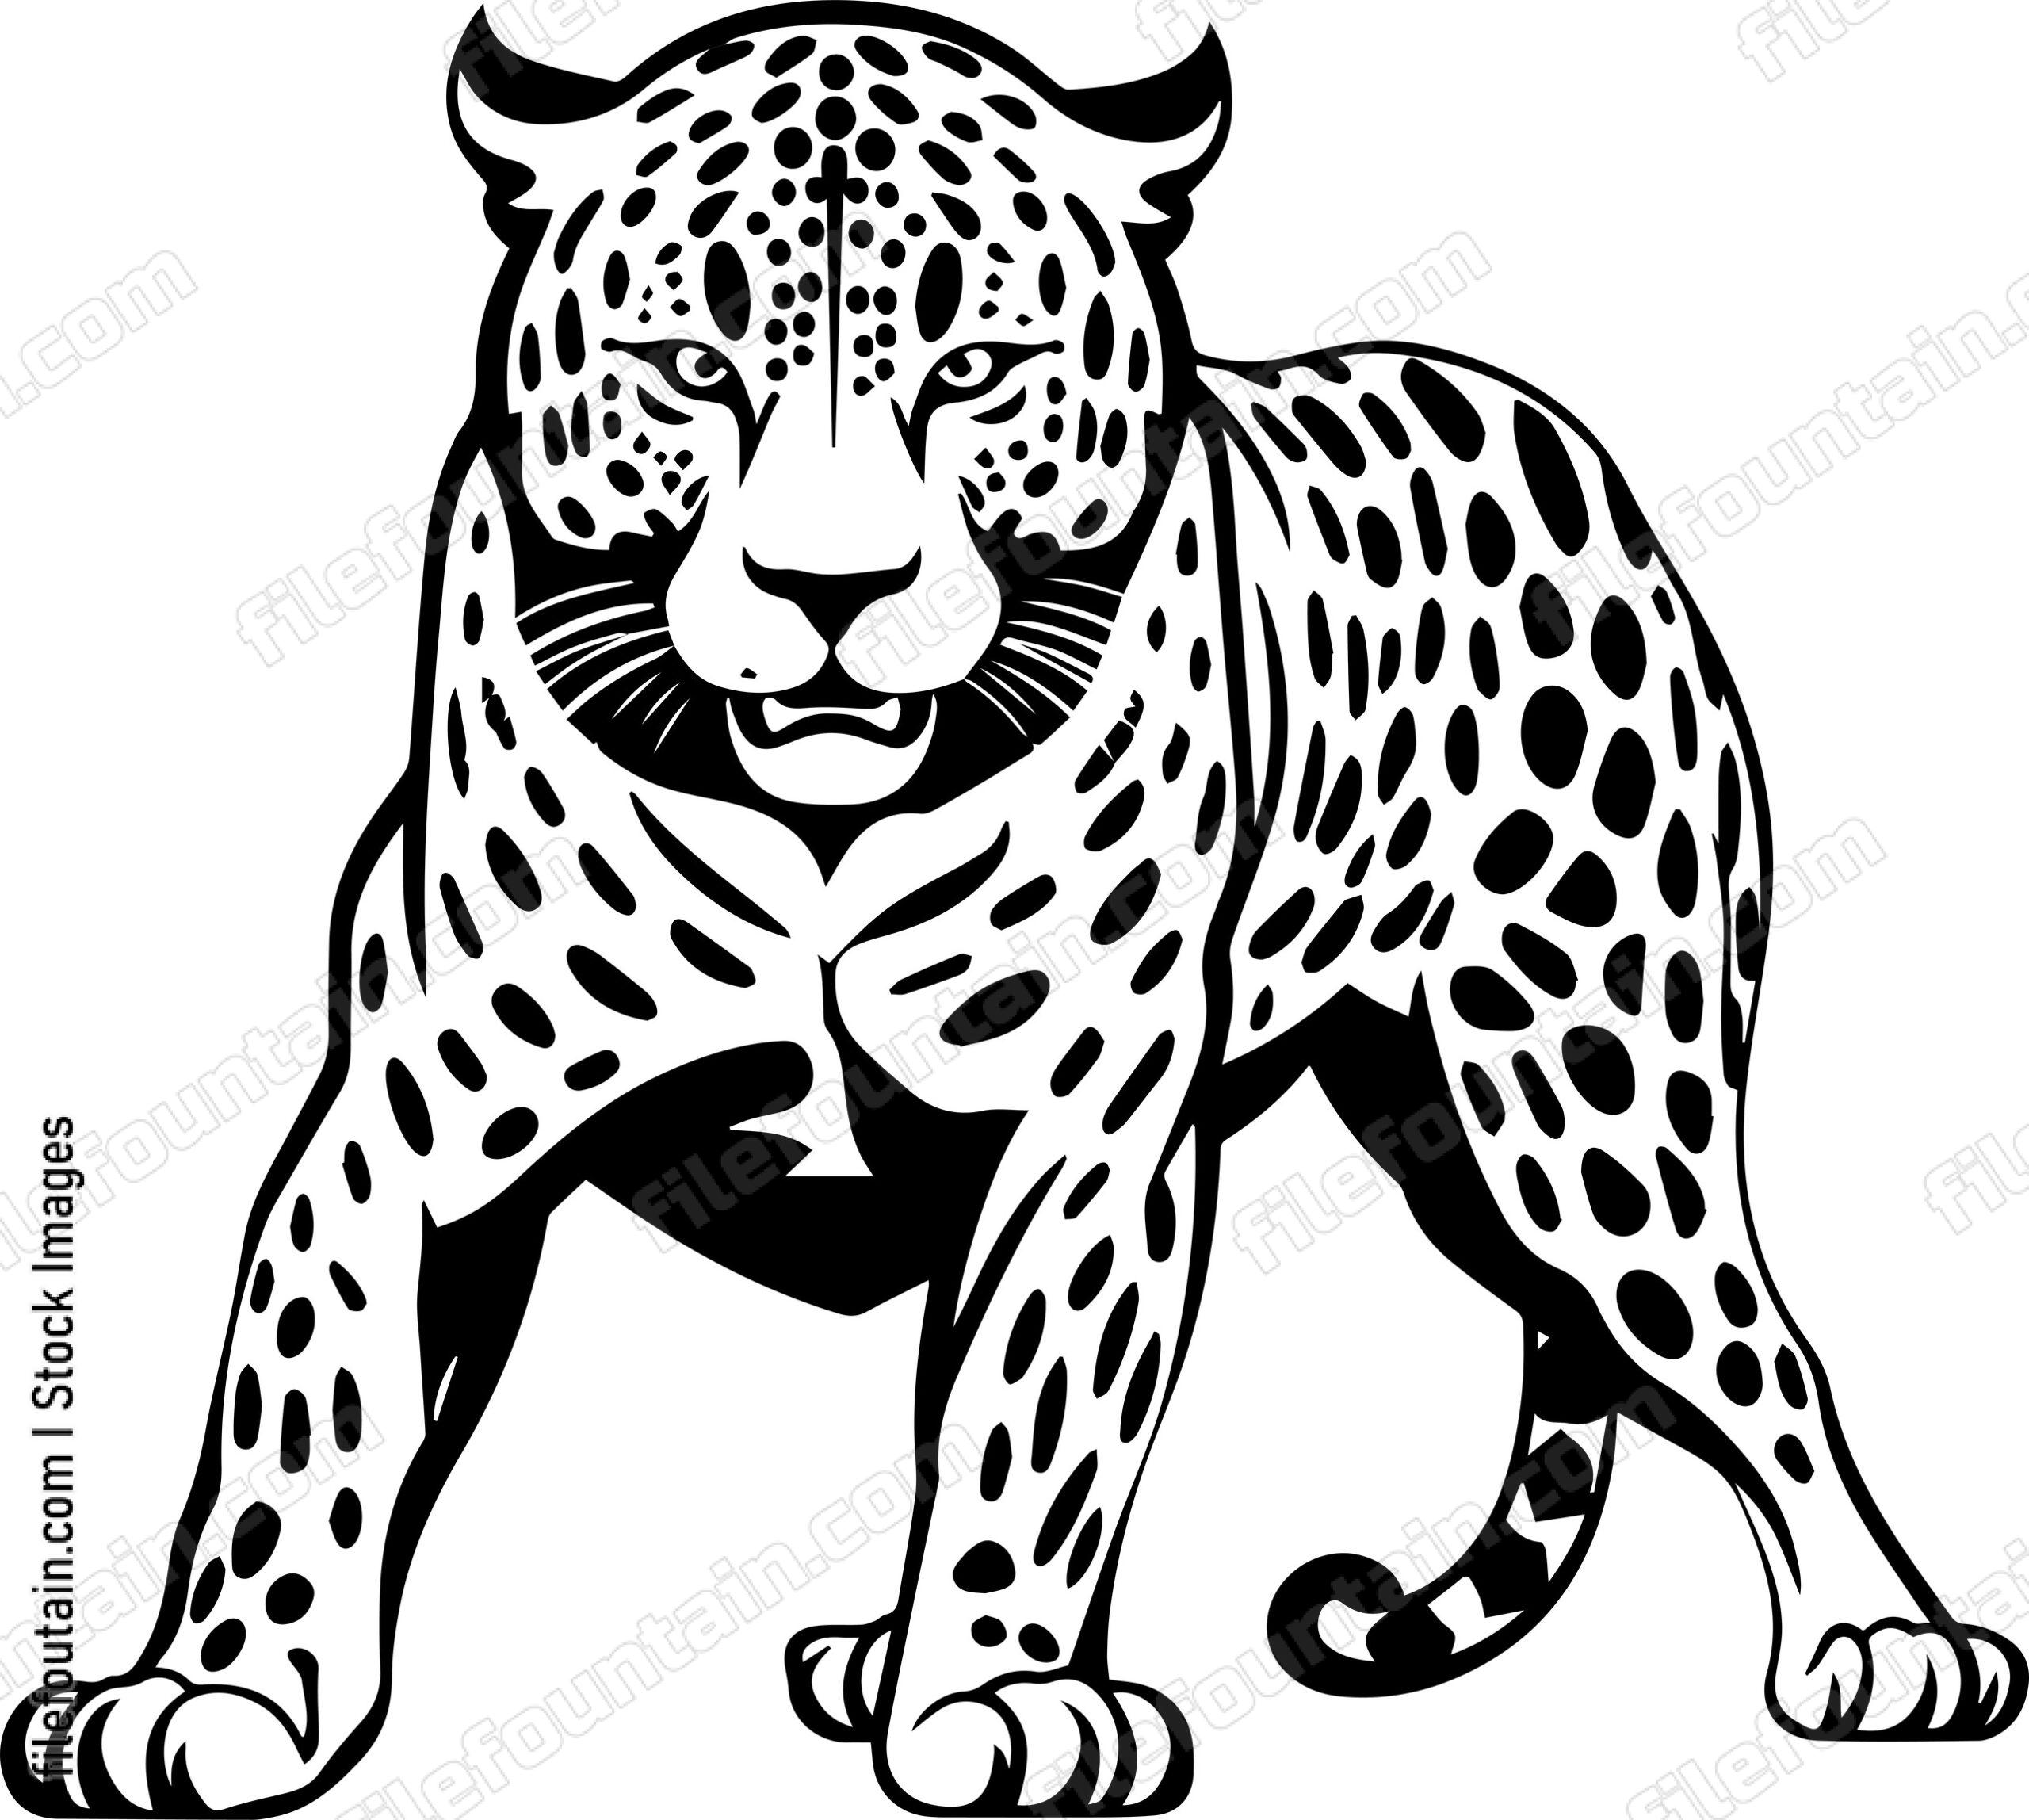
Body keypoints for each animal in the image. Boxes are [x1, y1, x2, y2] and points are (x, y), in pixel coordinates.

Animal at [9, 4, 2022, 1814]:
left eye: (974, 364)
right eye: (687, 363)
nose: (831, 590)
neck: (815, 834)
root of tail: (1524, 417)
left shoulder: (1084, 1132)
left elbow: (1027, 1431)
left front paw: (994, 1697)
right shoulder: (404, 1132)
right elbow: (302, 1417)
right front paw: (213, 1696)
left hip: (1579, 1101)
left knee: (1752, 1351)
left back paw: (1883, 1643)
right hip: (1447, 1138)